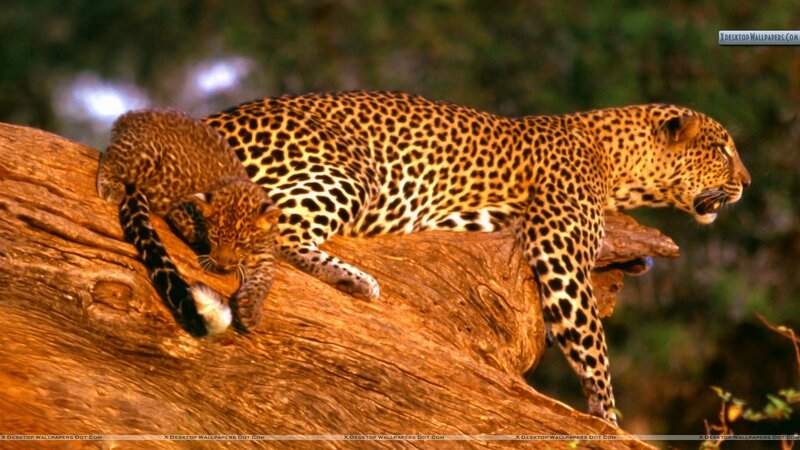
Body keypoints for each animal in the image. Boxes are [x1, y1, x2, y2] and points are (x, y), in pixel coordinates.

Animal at [97, 109, 281, 336]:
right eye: (215, 237)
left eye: (241, 243)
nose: (222, 264)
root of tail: (131, 116)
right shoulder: (179, 211)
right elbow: (197, 233)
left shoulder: (265, 254)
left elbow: (264, 277)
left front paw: (250, 308)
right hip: (143, 158)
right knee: (109, 155)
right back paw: (111, 185)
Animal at [203, 91, 751, 425]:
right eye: (723, 149)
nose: (746, 184)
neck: (617, 160)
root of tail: (210, 121)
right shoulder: (560, 249)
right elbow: (592, 342)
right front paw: (610, 419)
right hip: (350, 168)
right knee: (275, 231)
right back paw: (352, 280)